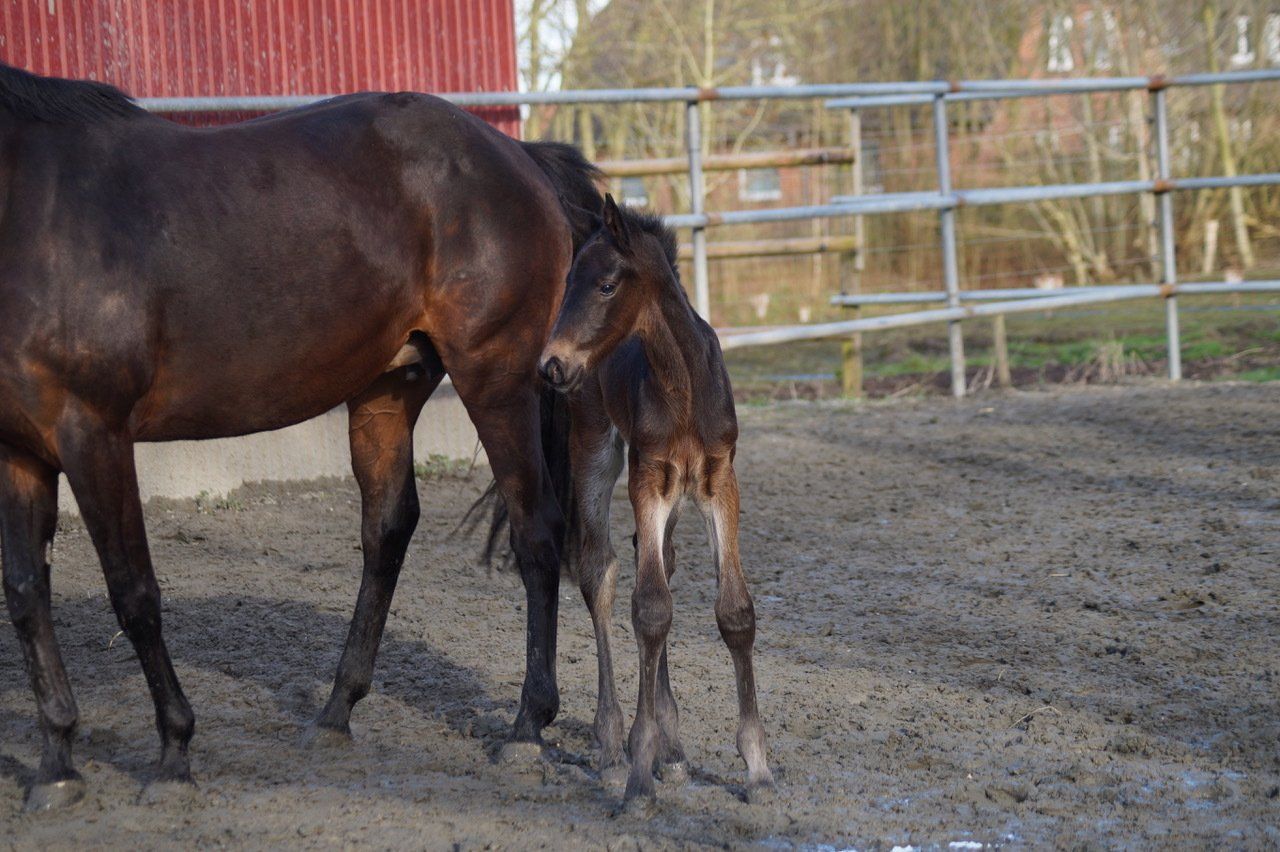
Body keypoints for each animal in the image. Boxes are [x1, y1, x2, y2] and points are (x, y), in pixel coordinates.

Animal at [0, 63, 599, 810]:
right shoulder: (20, 451)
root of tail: (521, 157)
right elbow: (26, 594)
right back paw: (337, 712)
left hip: (496, 379)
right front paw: (56, 764)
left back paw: (525, 728)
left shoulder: (94, 433)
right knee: (388, 530)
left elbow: (133, 592)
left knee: (535, 530)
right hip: (387, 387)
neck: (39, 212)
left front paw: (173, 754)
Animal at [537, 195, 773, 807]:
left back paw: (674, 749)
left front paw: (757, 768)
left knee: (659, 562)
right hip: (595, 446)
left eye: (605, 286)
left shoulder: (718, 479)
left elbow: (733, 610)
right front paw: (639, 771)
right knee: (600, 571)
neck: (684, 383)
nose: (551, 365)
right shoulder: (647, 476)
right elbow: (649, 608)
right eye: (567, 281)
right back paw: (612, 745)